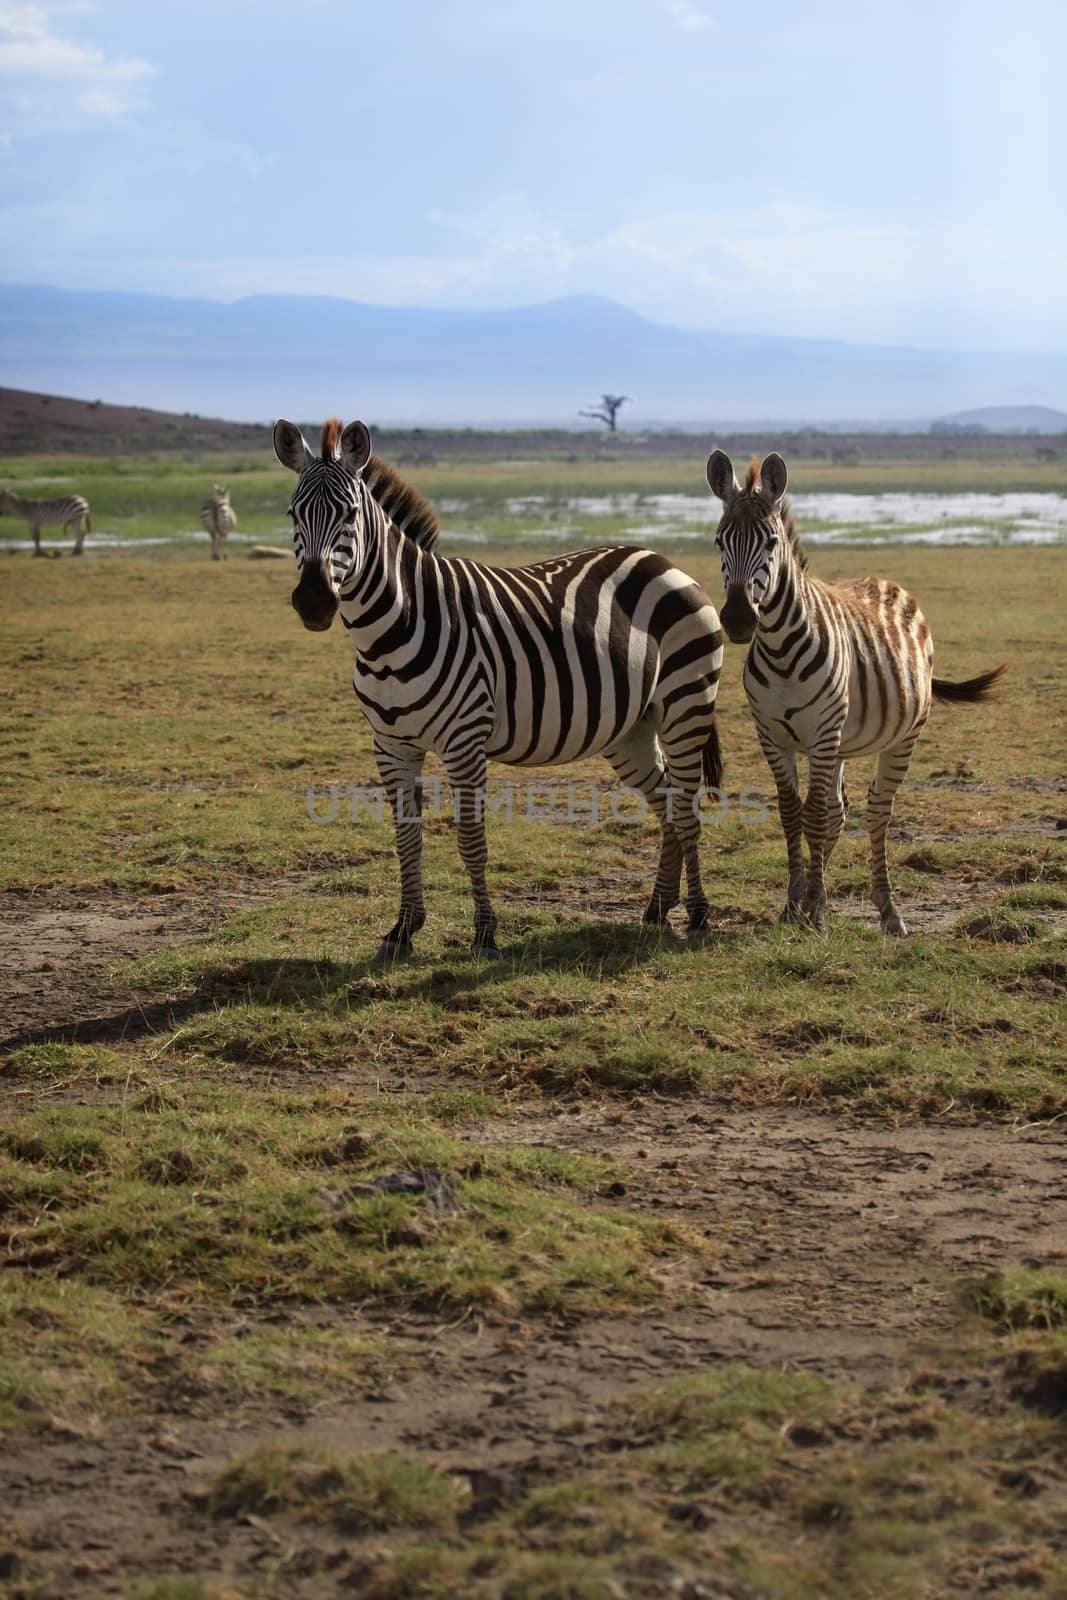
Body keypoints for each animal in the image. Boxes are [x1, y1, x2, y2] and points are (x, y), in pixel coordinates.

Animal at [275, 416, 726, 960]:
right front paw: (402, 930)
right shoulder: (390, 745)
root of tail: (659, 558)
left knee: (687, 807)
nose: (313, 601)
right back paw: (658, 907)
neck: (390, 632)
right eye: (293, 513)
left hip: (686, 704)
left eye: (350, 514)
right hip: (632, 728)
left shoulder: (464, 740)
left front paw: (485, 934)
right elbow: (406, 836)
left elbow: (471, 840)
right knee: (666, 804)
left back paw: (698, 914)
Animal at [703, 451, 1004, 934]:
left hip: (901, 736)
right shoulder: (771, 735)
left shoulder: (823, 735)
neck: (780, 646)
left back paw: (888, 911)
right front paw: (796, 903)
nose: (736, 619)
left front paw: (816, 906)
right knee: (837, 810)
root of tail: (886, 581)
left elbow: (813, 815)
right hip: (840, 742)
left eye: (771, 542)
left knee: (876, 810)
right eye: (717, 541)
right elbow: (793, 814)